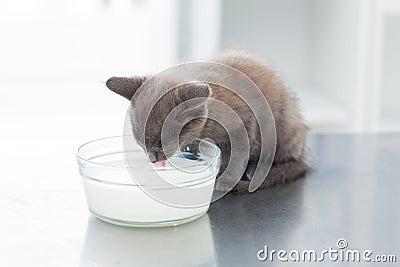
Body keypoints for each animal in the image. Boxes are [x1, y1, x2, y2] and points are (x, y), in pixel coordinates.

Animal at [104, 51, 308, 192]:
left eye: (160, 143)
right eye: (140, 142)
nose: (152, 159)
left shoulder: (245, 124)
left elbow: (237, 155)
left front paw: (225, 181)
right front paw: (192, 149)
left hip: (282, 126)